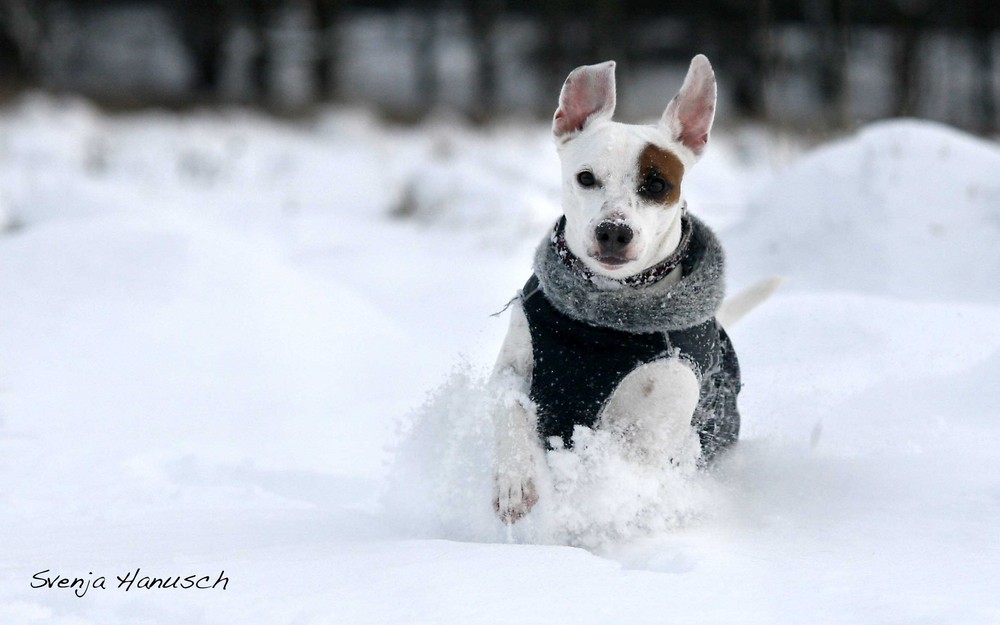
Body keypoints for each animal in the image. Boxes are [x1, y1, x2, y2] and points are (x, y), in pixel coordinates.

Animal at [492, 54, 780, 528]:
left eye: (657, 185)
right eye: (586, 178)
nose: (614, 231)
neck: (601, 317)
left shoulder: (654, 423)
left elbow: (623, 466)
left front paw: (586, 509)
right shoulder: (515, 365)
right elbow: (510, 409)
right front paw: (515, 481)